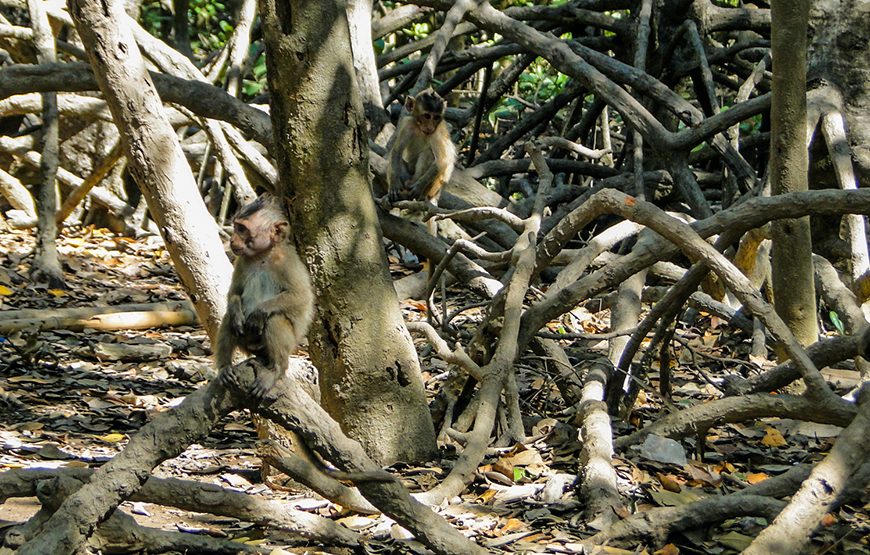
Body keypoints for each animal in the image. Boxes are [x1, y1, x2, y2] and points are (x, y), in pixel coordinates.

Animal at [215, 194, 315, 400]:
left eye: (242, 229)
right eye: (236, 226)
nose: (232, 240)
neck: (263, 256)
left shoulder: (287, 261)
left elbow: (302, 297)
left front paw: (259, 312)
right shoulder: (242, 261)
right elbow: (234, 293)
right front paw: (236, 310)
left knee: (275, 319)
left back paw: (276, 369)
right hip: (248, 344)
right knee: (229, 319)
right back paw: (225, 367)